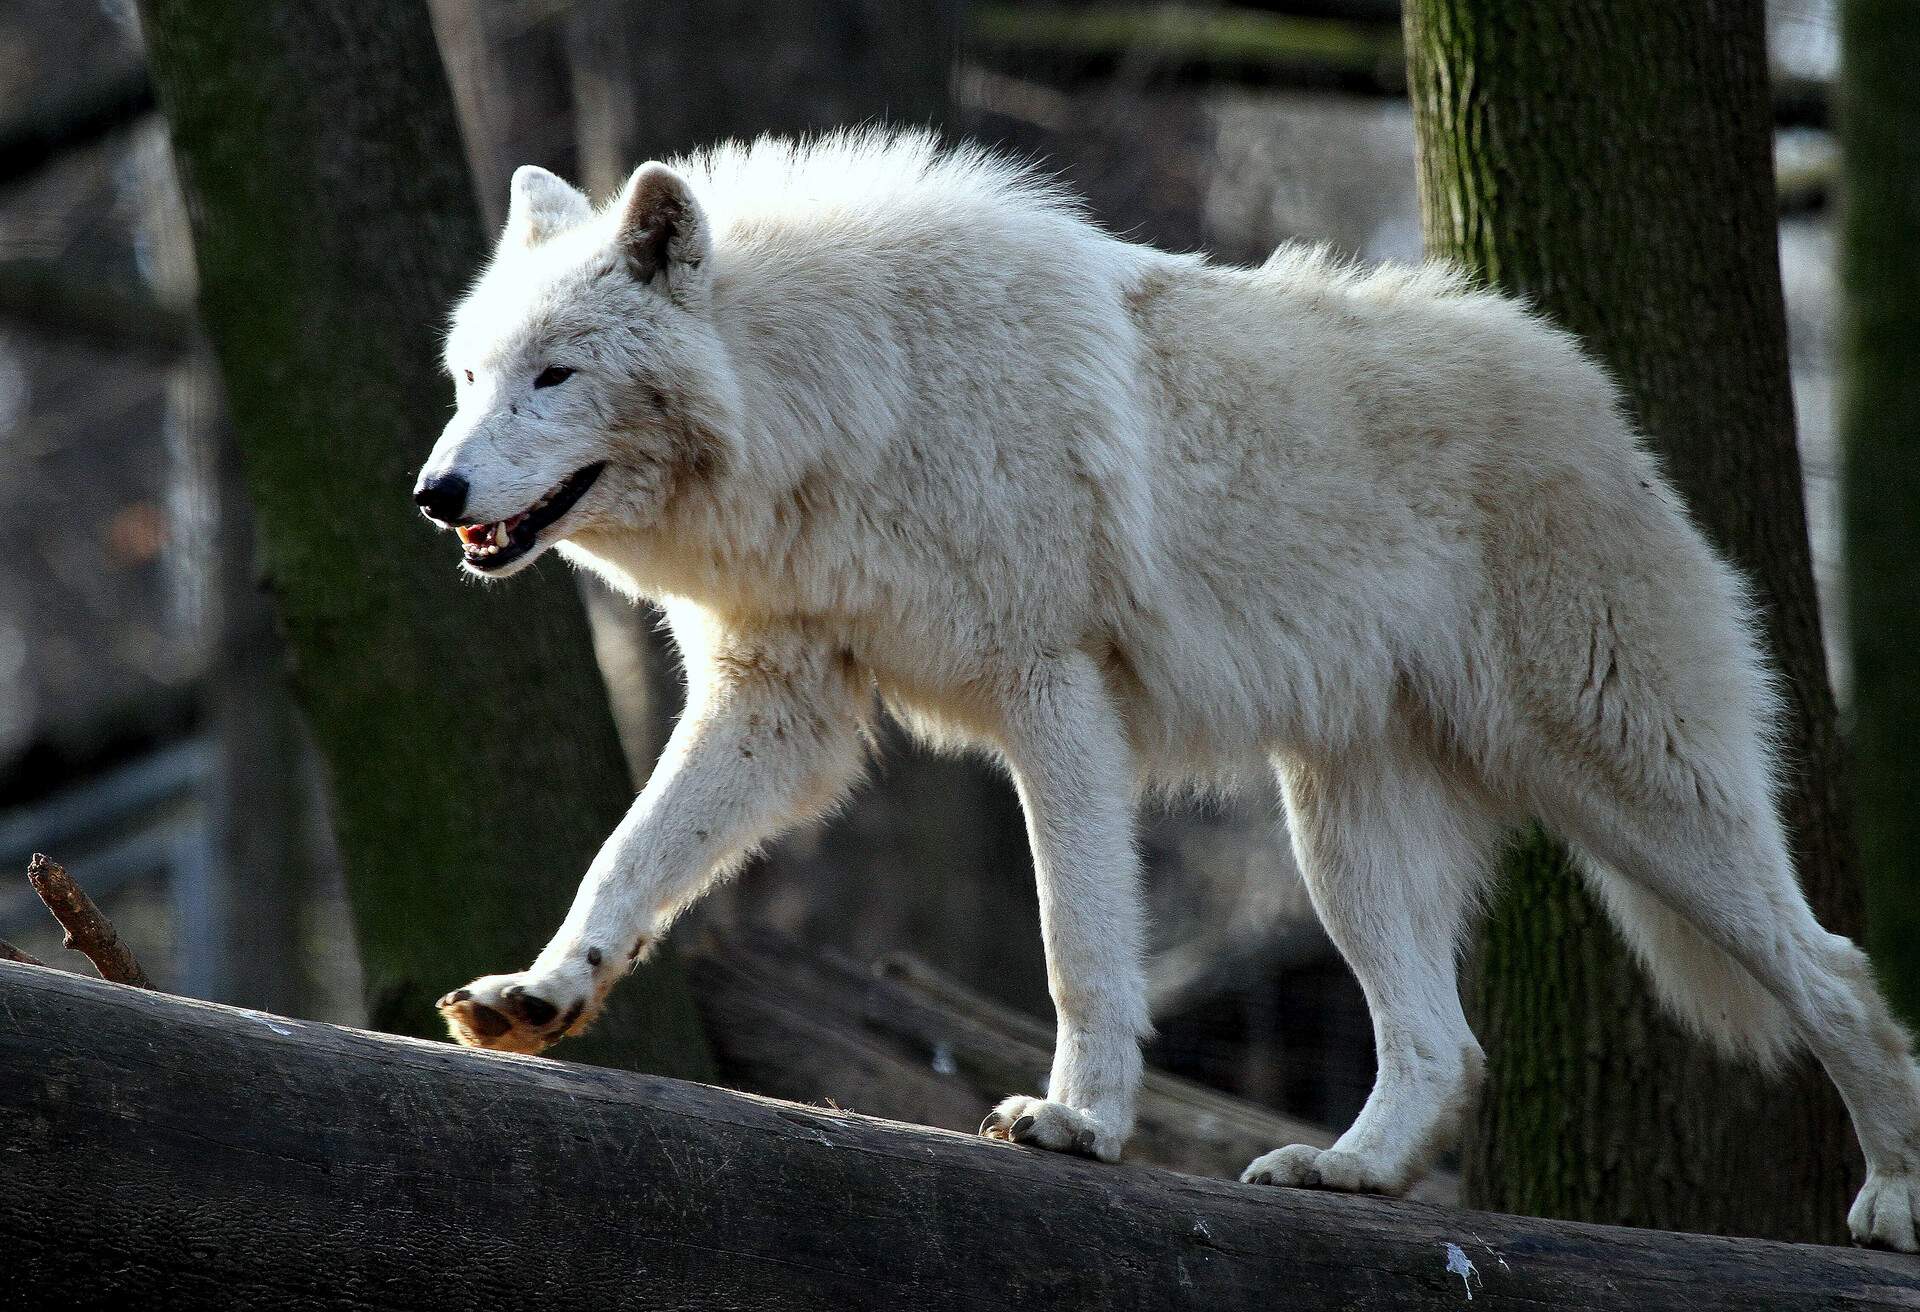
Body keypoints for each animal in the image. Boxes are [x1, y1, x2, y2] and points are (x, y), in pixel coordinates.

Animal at [416, 128, 1920, 1244]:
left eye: (557, 375)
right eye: (470, 377)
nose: (436, 494)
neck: (850, 397)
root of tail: (1601, 405)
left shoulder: (1055, 689)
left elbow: (1079, 943)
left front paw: (1078, 1124)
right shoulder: (779, 703)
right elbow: (625, 858)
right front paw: (539, 994)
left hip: (1622, 786)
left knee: (1838, 974)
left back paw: (1893, 1201)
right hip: (1342, 834)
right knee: (1444, 1050)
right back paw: (1348, 1172)